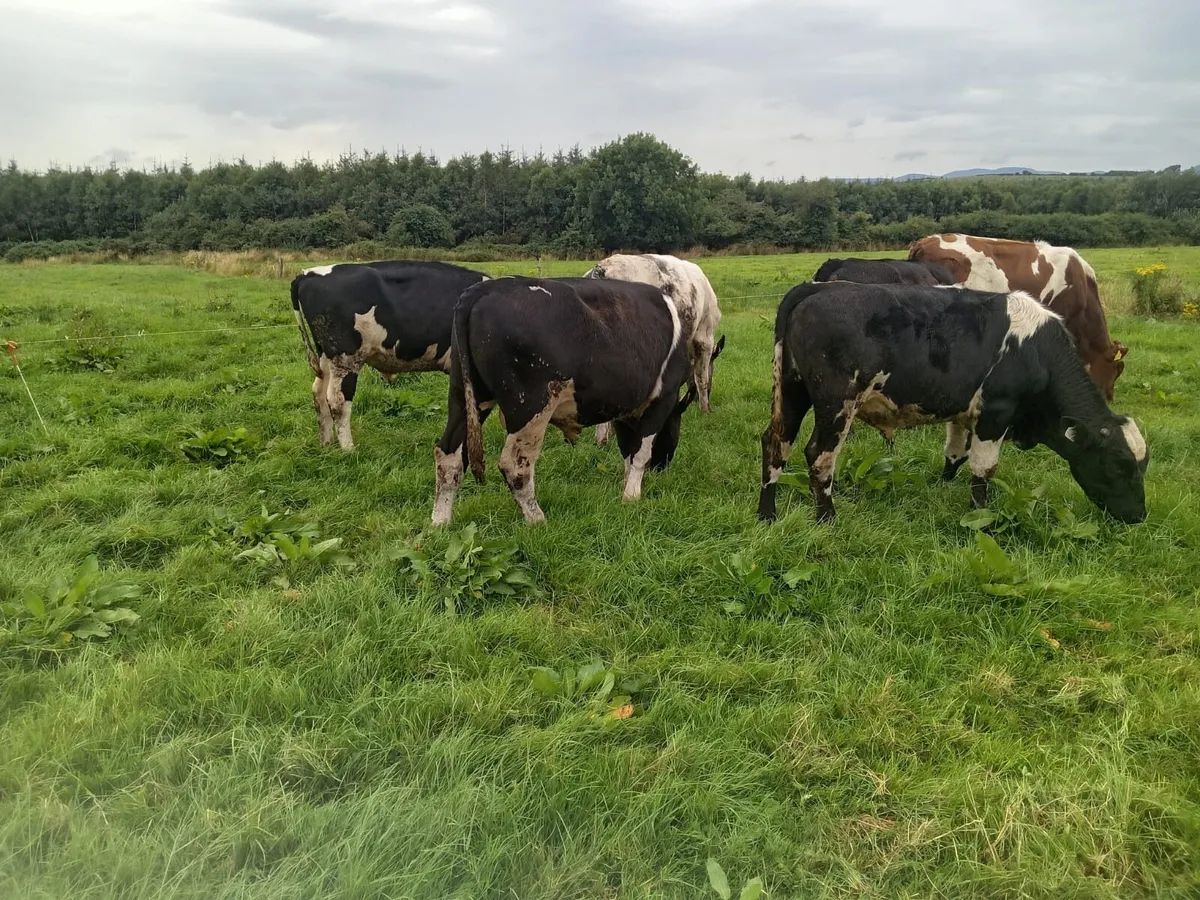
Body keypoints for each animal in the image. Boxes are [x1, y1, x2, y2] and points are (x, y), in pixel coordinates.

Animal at [291, 260, 487, 450]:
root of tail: (307, 274)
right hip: (345, 358)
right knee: (337, 400)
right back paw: (348, 449)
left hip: (326, 356)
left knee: (319, 393)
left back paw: (326, 444)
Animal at [432, 276, 723, 525]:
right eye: (674, 430)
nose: (662, 467)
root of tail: (482, 290)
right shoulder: (661, 399)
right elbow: (641, 452)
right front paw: (632, 496)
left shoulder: (623, 408)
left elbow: (627, 451)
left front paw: (626, 485)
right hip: (531, 407)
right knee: (515, 465)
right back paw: (537, 519)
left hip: (464, 397)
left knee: (448, 456)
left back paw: (440, 523)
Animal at [756, 281, 1149, 525]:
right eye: (1118, 466)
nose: (1138, 516)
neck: (1038, 352)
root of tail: (817, 287)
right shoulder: (995, 415)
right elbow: (983, 470)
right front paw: (982, 519)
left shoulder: (962, 413)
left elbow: (955, 455)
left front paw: (942, 488)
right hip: (836, 403)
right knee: (819, 456)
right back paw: (826, 519)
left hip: (792, 392)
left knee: (775, 443)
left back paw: (767, 514)